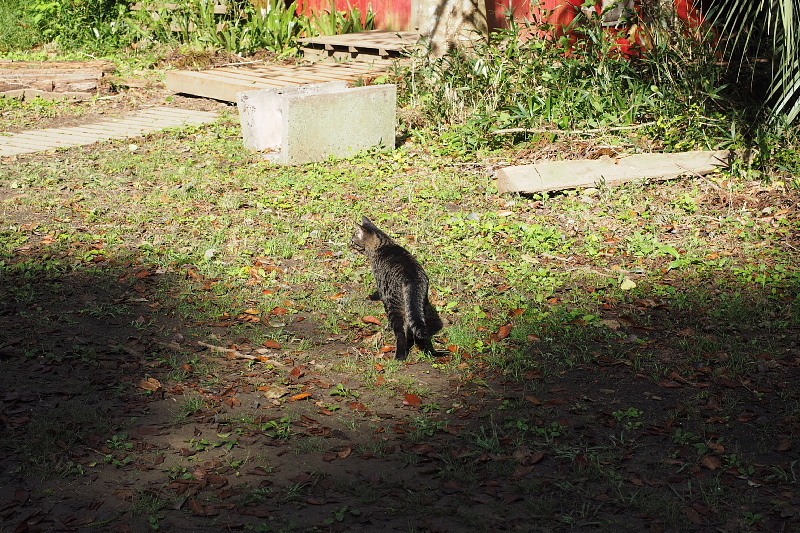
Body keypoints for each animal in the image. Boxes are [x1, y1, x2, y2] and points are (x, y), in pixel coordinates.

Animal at [352, 214, 444, 360]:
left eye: (353, 241)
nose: (350, 245)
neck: (384, 245)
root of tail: (413, 279)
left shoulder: (383, 291)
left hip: (394, 305)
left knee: (401, 332)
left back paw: (399, 357)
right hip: (420, 305)